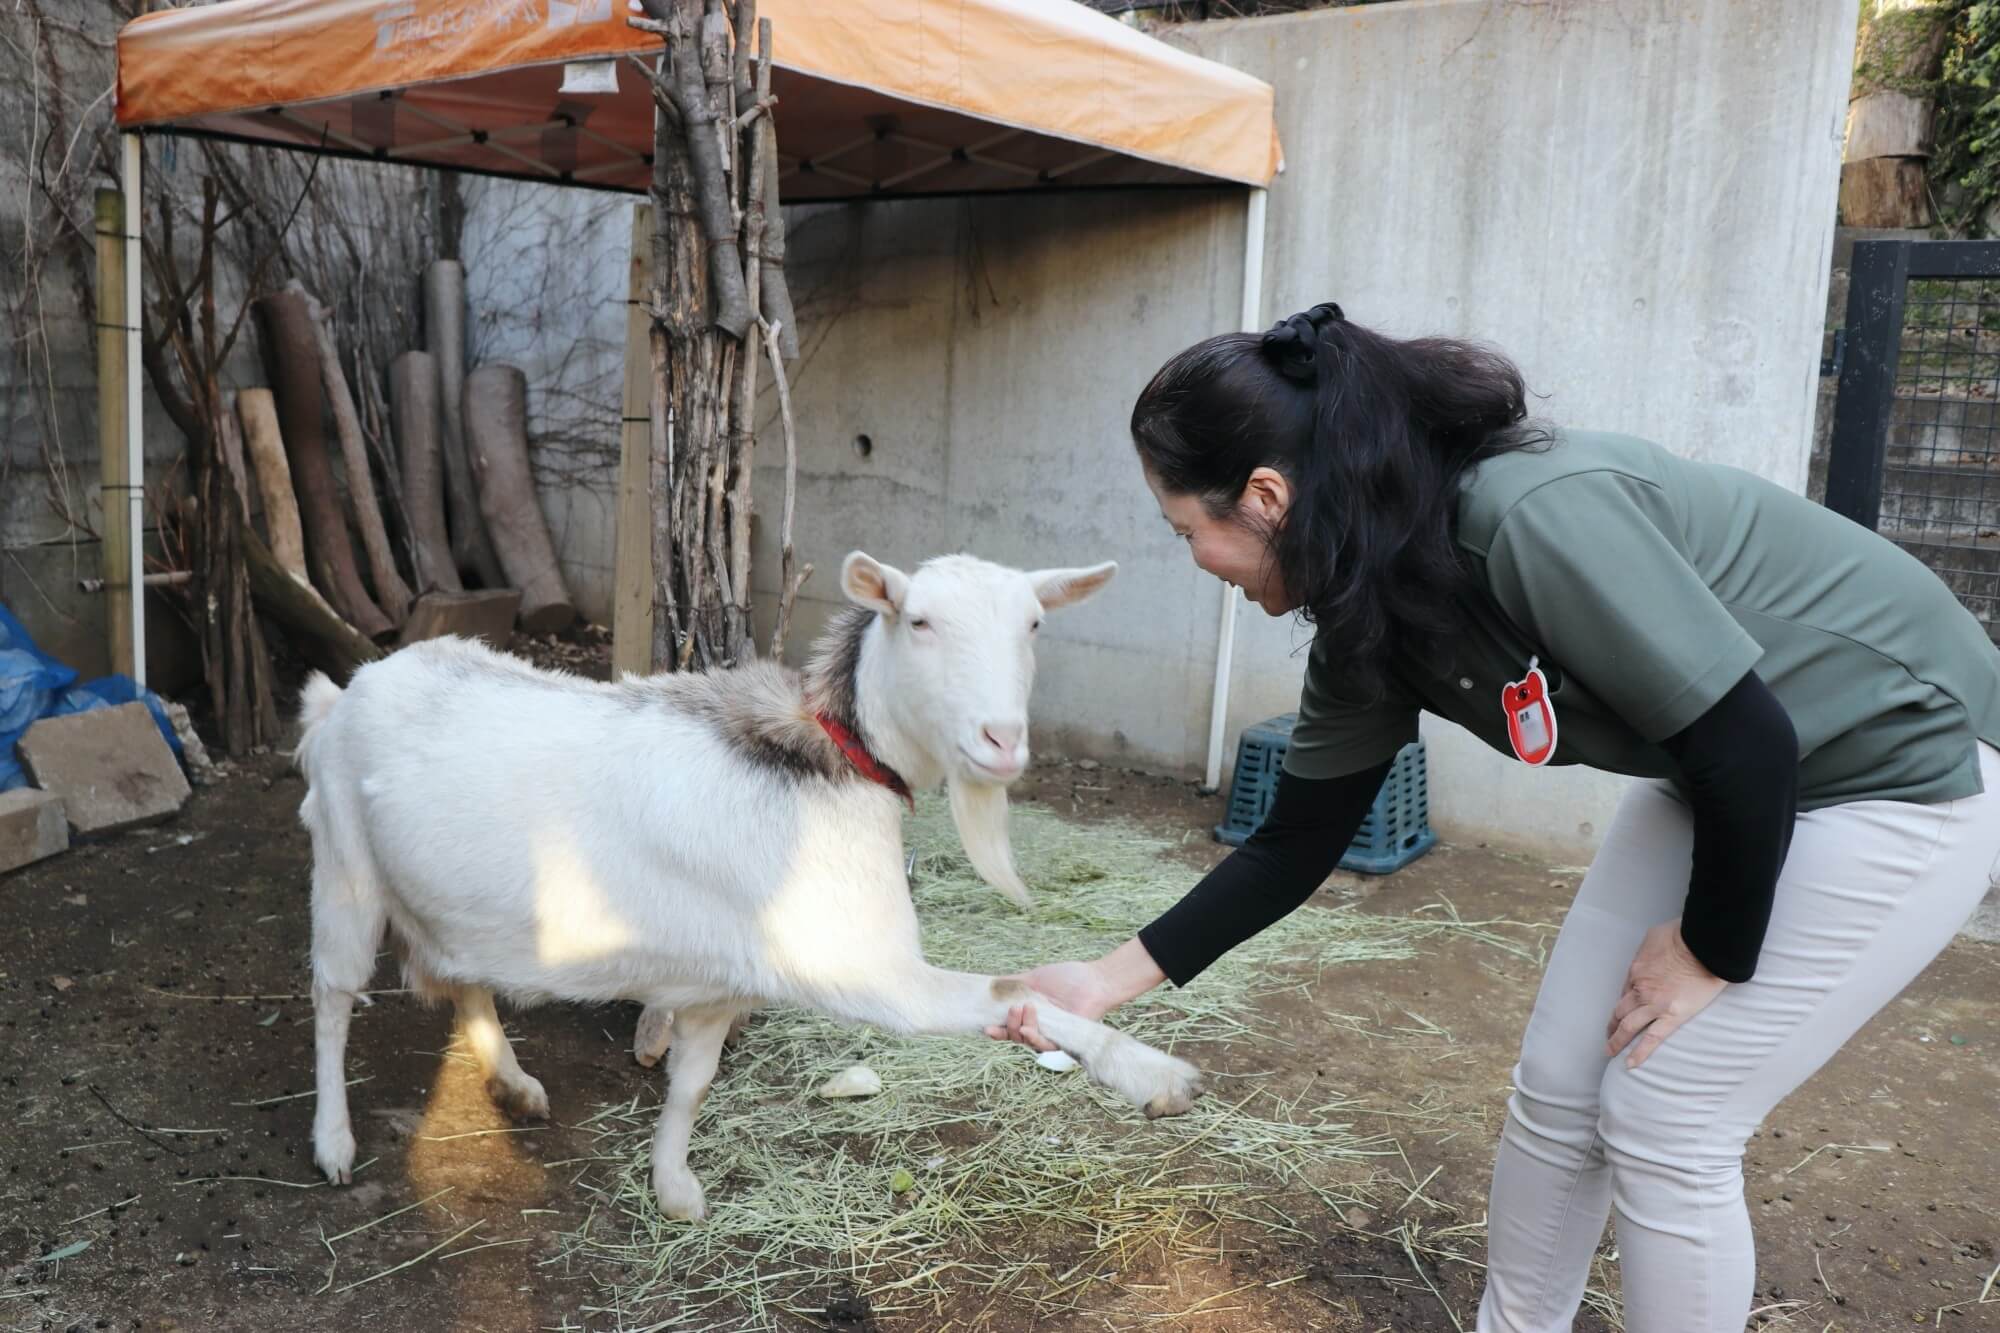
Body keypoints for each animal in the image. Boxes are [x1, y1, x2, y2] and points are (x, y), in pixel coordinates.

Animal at [296, 548, 1200, 1216]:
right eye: (919, 620)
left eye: (1035, 624)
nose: (1002, 740)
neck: (835, 765)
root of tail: (348, 690)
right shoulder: (870, 971)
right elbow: (1017, 991)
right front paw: (1155, 1075)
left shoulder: (717, 981)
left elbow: (692, 1084)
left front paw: (674, 1189)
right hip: (343, 869)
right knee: (333, 997)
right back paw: (334, 1142)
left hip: (451, 904)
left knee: (462, 978)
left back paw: (515, 1086)